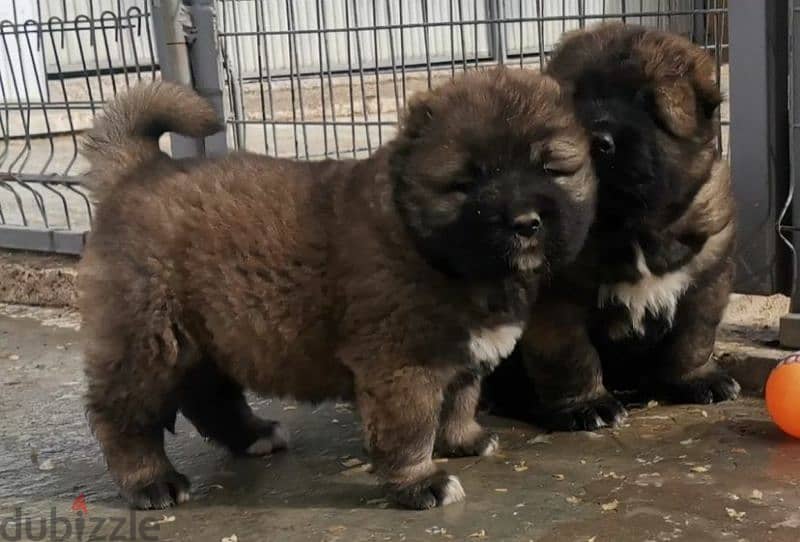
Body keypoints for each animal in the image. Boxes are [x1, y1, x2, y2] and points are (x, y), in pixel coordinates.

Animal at [81, 69, 596, 510]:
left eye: (551, 169)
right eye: (468, 182)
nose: (525, 223)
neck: (421, 239)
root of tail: (140, 170)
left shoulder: (461, 353)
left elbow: (461, 397)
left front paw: (464, 438)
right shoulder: (400, 362)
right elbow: (411, 427)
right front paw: (421, 482)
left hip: (207, 335)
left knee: (208, 395)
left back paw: (254, 435)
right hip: (148, 339)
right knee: (123, 416)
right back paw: (151, 481)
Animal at [482, 23, 736, 434]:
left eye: (647, 106)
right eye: (576, 102)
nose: (596, 142)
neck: (628, 227)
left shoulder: (708, 278)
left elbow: (693, 338)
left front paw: (697, 379)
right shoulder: (556, 300)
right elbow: (570, 355)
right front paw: (587, 404)